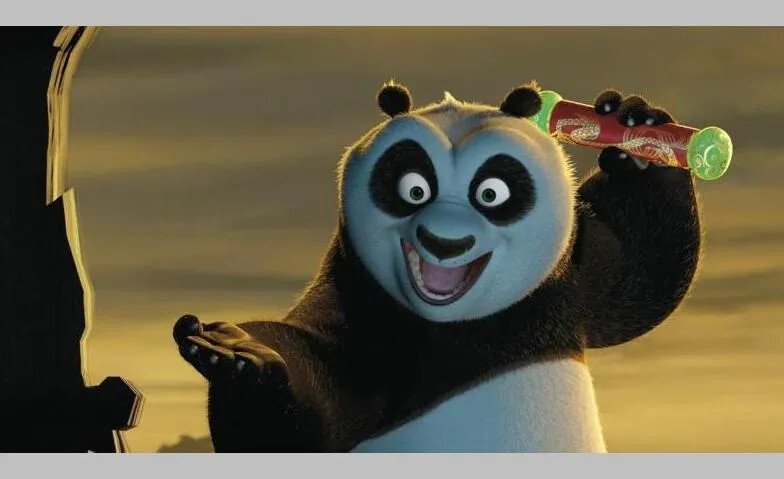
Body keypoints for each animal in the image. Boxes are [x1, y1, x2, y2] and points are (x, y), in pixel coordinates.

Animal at [172, 81, 701, 452]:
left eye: (492, 193)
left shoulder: (561, 288)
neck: (456, 326)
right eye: (412, 188)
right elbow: (305, 419)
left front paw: (636, 132)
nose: (445, 242)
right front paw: (241, 355)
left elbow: (637, 274)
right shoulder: (361, 315)